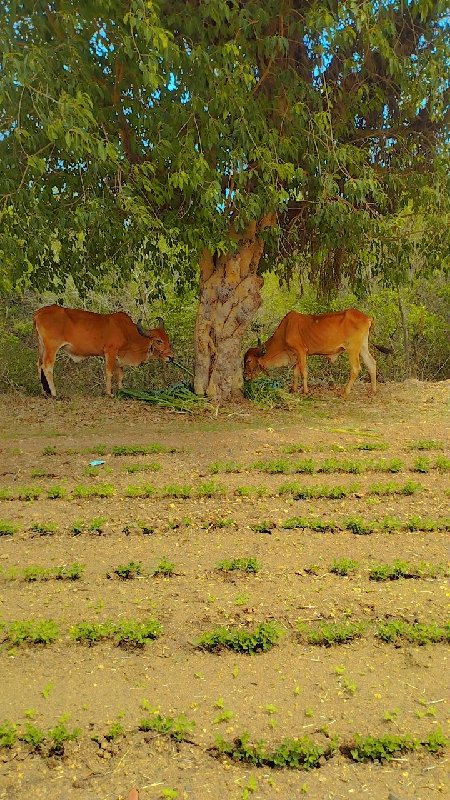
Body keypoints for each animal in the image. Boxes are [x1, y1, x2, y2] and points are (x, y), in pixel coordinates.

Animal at [33, 304, 173, 396]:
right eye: (159, 341)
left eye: (167, 338)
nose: (171, 357)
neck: (127, 331)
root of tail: (38, 313)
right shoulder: (110, 352)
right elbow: (109, 372)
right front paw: (109, 393)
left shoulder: (119, 357)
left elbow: (120, 374)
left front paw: (122, 390)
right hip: (52, 347)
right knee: (47, 366)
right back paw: (54, 393)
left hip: (42, 347)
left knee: (39, 364)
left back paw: (44, 392)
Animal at [244, 306, 378, 396]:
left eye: (249, 361)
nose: (245, 376)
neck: (286, 329)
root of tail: (367, 317)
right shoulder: (298, 354)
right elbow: (296, 371)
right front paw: (293, 389)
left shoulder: (301, 351)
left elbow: (304, 371)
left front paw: (306, 391)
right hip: (363, 346)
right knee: (371, 363)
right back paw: (373, 391)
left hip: (352, 348)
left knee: (356, 368)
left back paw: (345, 392)